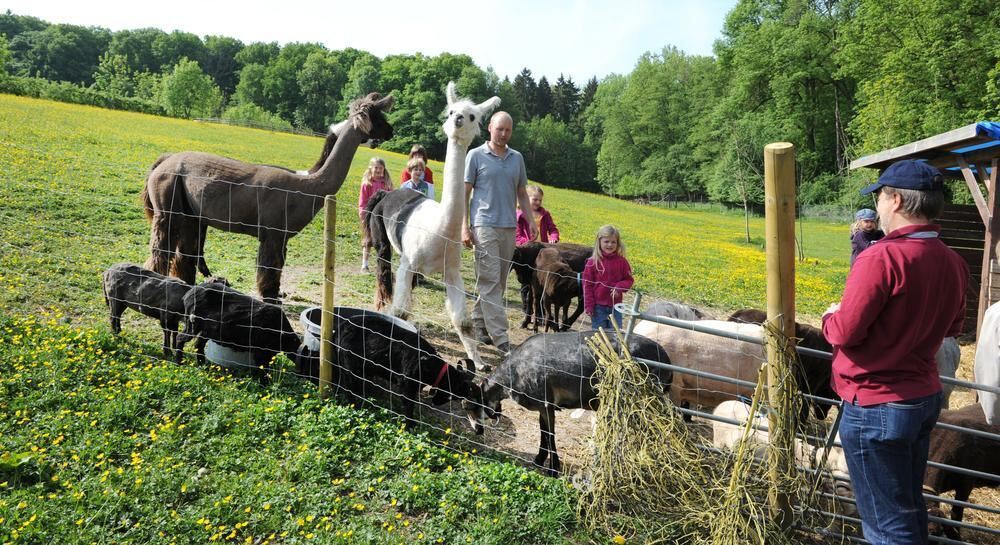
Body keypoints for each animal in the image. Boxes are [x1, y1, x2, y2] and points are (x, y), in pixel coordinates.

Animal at [292, 306, 480, 424]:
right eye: (452, 393)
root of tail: (340, 327)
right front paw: (410, 426)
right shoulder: (406, 386)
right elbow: (408, 407)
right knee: (349, 386)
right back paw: (356, 407)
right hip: (350, 365)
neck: (427, 363)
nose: (436, 402)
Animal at [462, 330, 672, 474]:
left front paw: (553, 469)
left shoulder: (546, 404)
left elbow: (550, 435)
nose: (476, 430)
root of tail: (667, 361)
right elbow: (543, 433)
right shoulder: (543, 407)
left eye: (469, 405)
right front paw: (539, 459)